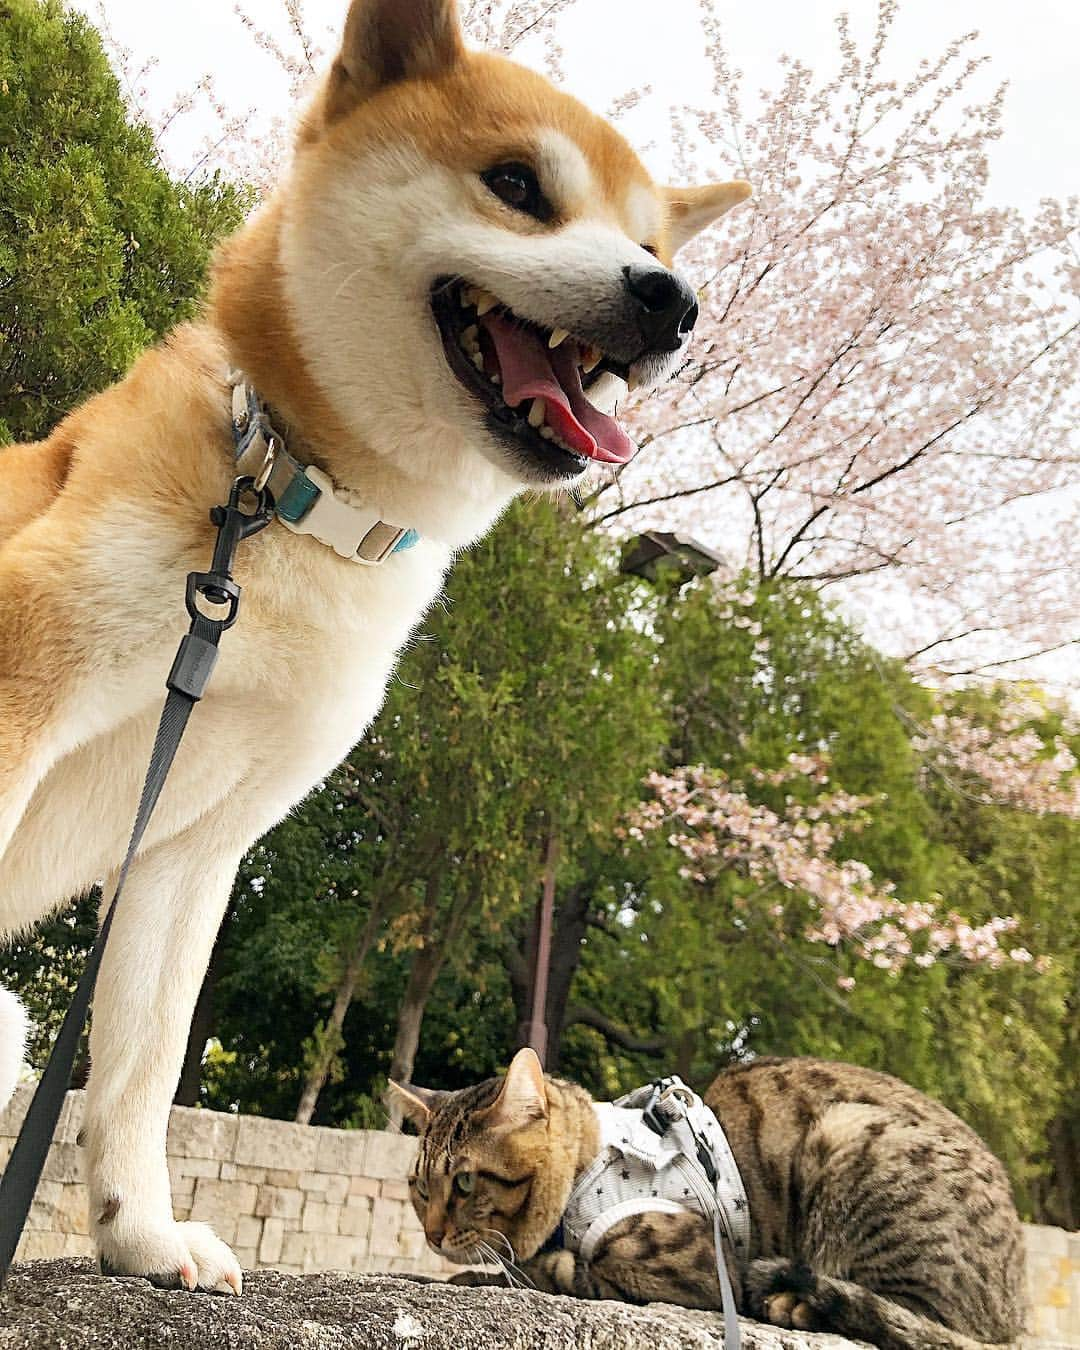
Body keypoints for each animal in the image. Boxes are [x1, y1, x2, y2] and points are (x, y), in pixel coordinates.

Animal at [0, 0, 745, 1290]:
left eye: (652, 236)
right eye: (517, 185)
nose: (673, 300)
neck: (295, 500)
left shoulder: (196, 842)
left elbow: (141, 1064)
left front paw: (141, 1238)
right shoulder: (23, 682)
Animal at [391, 1047, 1031, 1344]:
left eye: (464, 1182)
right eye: (420, 1187)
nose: (432, 1233)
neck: (587, 1164)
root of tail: (1016, 1305)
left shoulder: (693, 1266)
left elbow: (561, 1269)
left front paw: (495, 1274)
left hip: (854, 1140)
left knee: (924, 1324)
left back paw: (799, 1303)